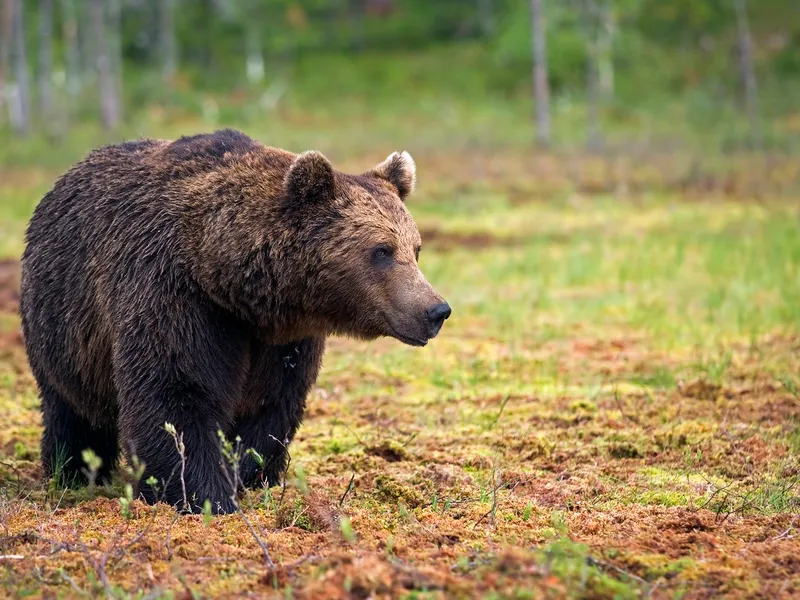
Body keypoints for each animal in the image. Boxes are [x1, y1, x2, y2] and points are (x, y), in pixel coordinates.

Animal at [20, 129, 450, 512]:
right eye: (382, 250)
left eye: (416, 248)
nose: (436, 310)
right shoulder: (174, 293)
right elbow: (176, 394)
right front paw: (203, 494)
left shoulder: (284, 340)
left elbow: (269, 405)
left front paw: (248, 476)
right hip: (62, 322)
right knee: (72, 411)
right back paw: (72, 472)